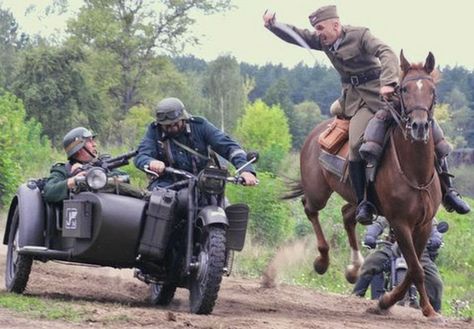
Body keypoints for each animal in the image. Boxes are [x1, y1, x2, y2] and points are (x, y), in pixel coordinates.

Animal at [286, 50, 444, 316]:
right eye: (404, 89)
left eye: (432, 90)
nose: (420, 126)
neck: (416, 173)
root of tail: (316, 132)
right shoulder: (400, 223)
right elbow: (414, 269)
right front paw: (390, 302)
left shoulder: (423, 225)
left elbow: (414, 269)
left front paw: (417, 306)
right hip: (318, 191)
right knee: (310, 208)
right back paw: (322, 261)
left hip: (358, 200)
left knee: (347, 215)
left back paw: (353, 267)